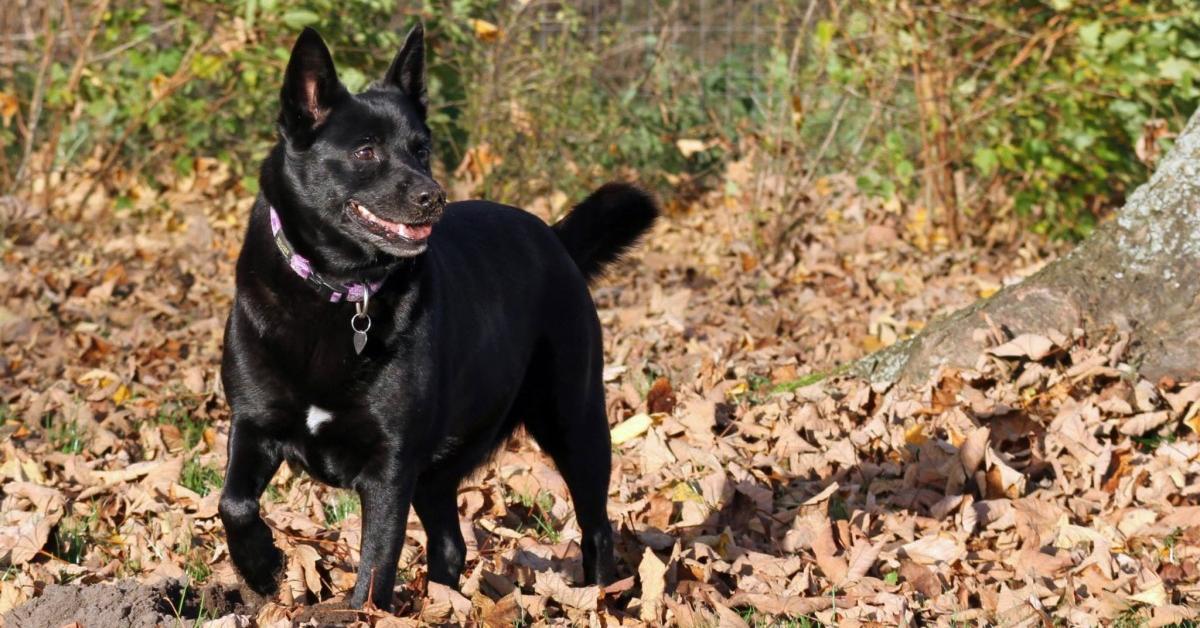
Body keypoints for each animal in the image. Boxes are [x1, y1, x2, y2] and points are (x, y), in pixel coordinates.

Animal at [220, 24, 662, 609]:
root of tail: (555, 240)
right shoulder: (252, 424)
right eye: (365, 150)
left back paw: (597, 594)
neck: (340, 291)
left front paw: (354, 611)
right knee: (451, 545)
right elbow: (233, 504)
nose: (435, 198)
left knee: (597, 527)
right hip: (442, 469)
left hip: (575, 420)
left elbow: (374, 568)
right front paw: (263, 567)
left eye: (421, 149)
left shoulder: (390, 467)